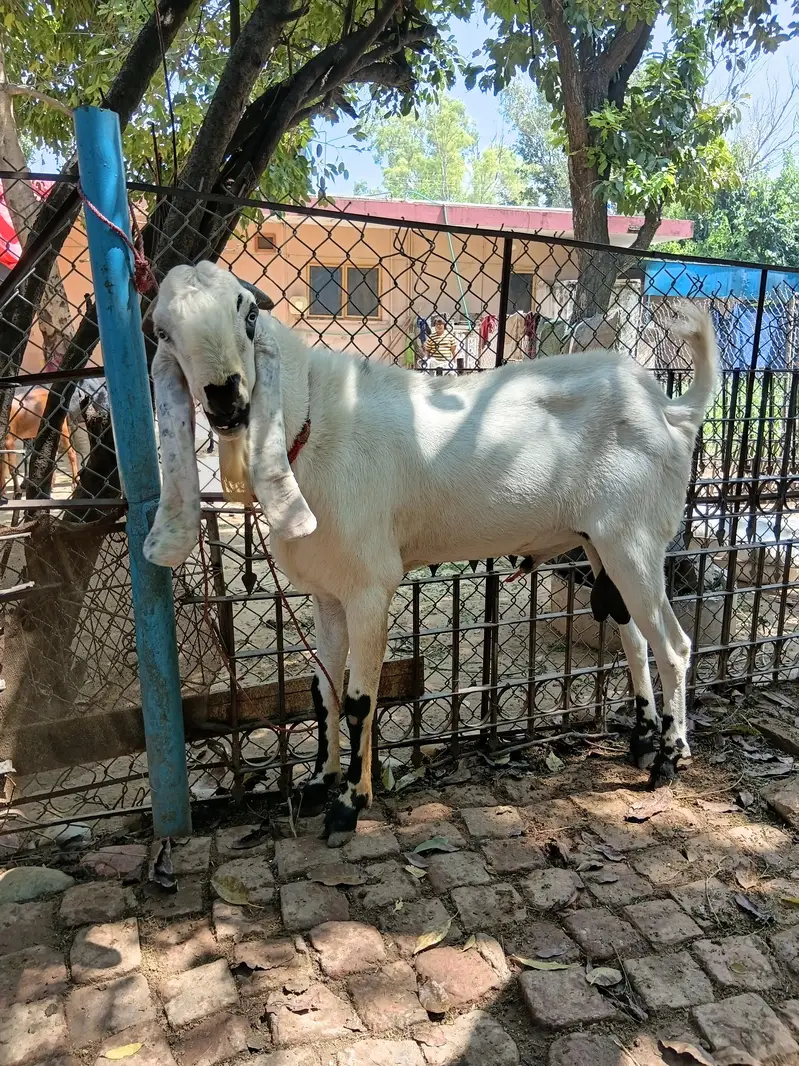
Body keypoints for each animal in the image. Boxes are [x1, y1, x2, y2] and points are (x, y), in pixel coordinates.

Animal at [143, 261, 719, 847]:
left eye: (248, 314)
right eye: (163, 331)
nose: (225, 398)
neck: (313, 419)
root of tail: (671, 410)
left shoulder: (370, 586)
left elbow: (358, 700)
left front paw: (349, 805)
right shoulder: (328, 594)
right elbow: (322, 691)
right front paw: (316, 786)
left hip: (635, 540)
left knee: (673, 646)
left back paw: (669, 760)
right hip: (602, 543)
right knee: (633, 636)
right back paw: (643, 741)